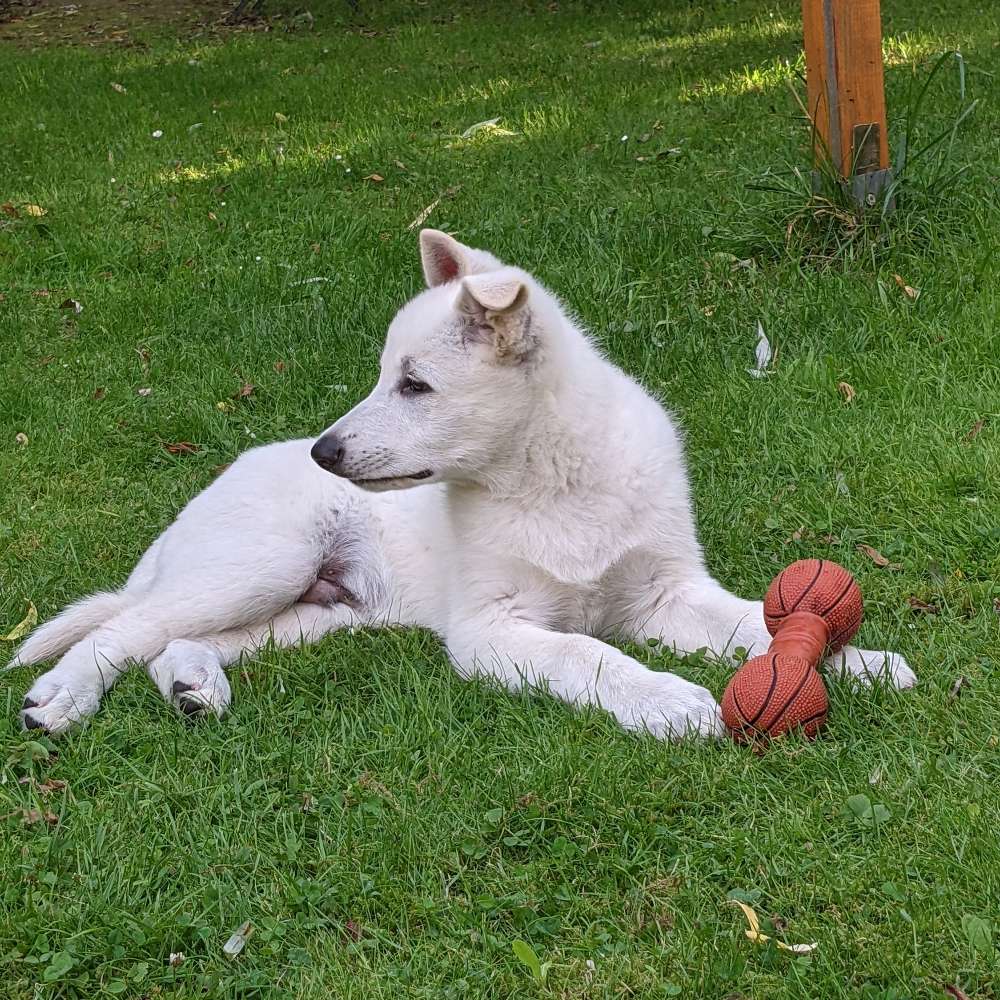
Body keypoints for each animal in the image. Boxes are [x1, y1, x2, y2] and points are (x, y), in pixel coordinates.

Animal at [7, 232, 916, 736]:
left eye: (414, 385)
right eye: (386, 376)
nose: (326, 452)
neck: (553, 479)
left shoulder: (666, 593)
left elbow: (759, 624)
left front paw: (855, 660)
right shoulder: (490, 628)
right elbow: (589, 654)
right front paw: (664, 701)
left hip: (314, 612)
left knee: (169, 639)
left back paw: (192, 686)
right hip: (263, 561)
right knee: (124, 628)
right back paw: (61, 697)